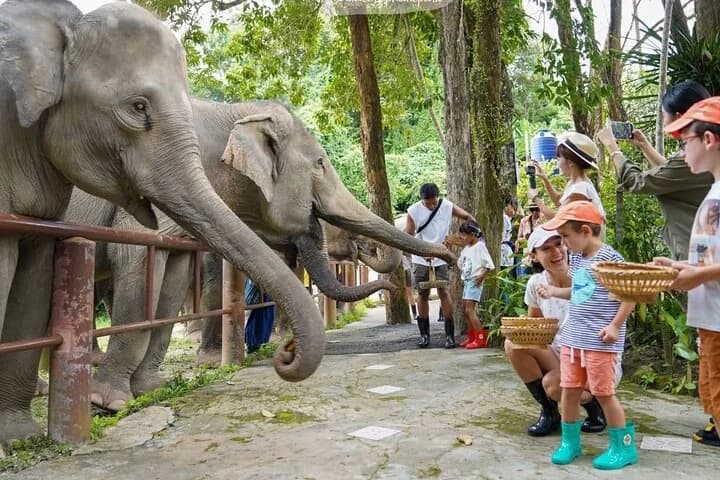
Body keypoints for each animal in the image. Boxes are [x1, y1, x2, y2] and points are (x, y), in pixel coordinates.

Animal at [0, 0, 327, 442]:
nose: (286, 355)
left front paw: (21, 435)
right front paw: (109, 404)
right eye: (138, 107)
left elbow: (168, 281)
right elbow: (136, 265)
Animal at [64, 99, 454, 411]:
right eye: (320, 164)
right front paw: (110, 402)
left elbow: (173, 277)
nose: (448, 258)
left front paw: (150, 389)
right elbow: (140, 256)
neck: (232, 111)